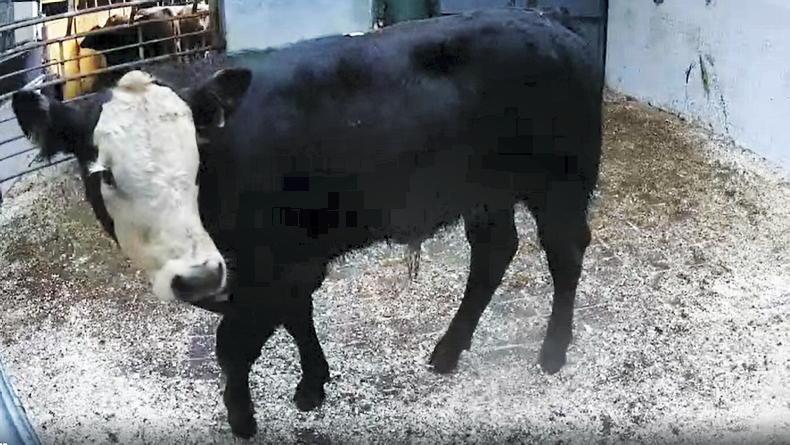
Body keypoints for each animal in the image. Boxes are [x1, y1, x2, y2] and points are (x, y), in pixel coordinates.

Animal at [11, 8, 602, 439]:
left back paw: (552, 352)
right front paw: (313, 386)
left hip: (562, 185)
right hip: (483, 194)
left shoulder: (276, 268)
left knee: (566, 255)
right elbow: (297, 319)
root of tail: (549, 24)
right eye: (104, 174)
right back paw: (448, 350)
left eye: (198, 159)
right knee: (493, 253)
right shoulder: (288, 262)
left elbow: (233, 348)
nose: (199, 278)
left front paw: (243, 421)